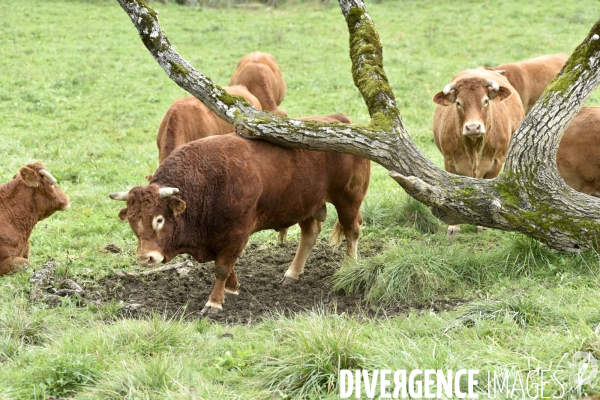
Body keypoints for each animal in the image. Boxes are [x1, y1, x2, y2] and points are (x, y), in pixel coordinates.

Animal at [109, 130, 368, 314]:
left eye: (159, 219)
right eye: (132, 221)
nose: (146, 258)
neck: (204, 184)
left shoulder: (236, 234)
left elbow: (222, 267)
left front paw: (214, 302)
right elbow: (226, 266)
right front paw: (232, 289)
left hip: (348, 200)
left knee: (352, 231)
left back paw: (349, 266)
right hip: (306, 206)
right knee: (310, 234)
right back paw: (292, 273)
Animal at [432, 68, 524, 236]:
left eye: (485, 101)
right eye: (458, 102)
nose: (473, 127)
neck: (473, 148)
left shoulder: (496, 162)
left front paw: (483, 225)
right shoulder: (449, 162)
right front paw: (454, 226)